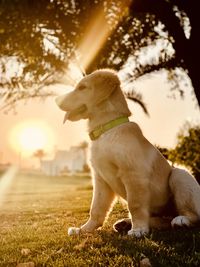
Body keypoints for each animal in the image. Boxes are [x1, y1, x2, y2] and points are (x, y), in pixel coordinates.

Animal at [55, 69, 200, 239]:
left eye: (82, 87)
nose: (56, 100)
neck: (106, 131)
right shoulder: (100, 178)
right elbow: (96, 207)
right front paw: (84, 229)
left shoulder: (133, 174)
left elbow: (135, 204)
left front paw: (138, 229)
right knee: (162, 220)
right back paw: (125, 223)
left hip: (179, 174)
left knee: (192, 215)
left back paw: (180, 220)